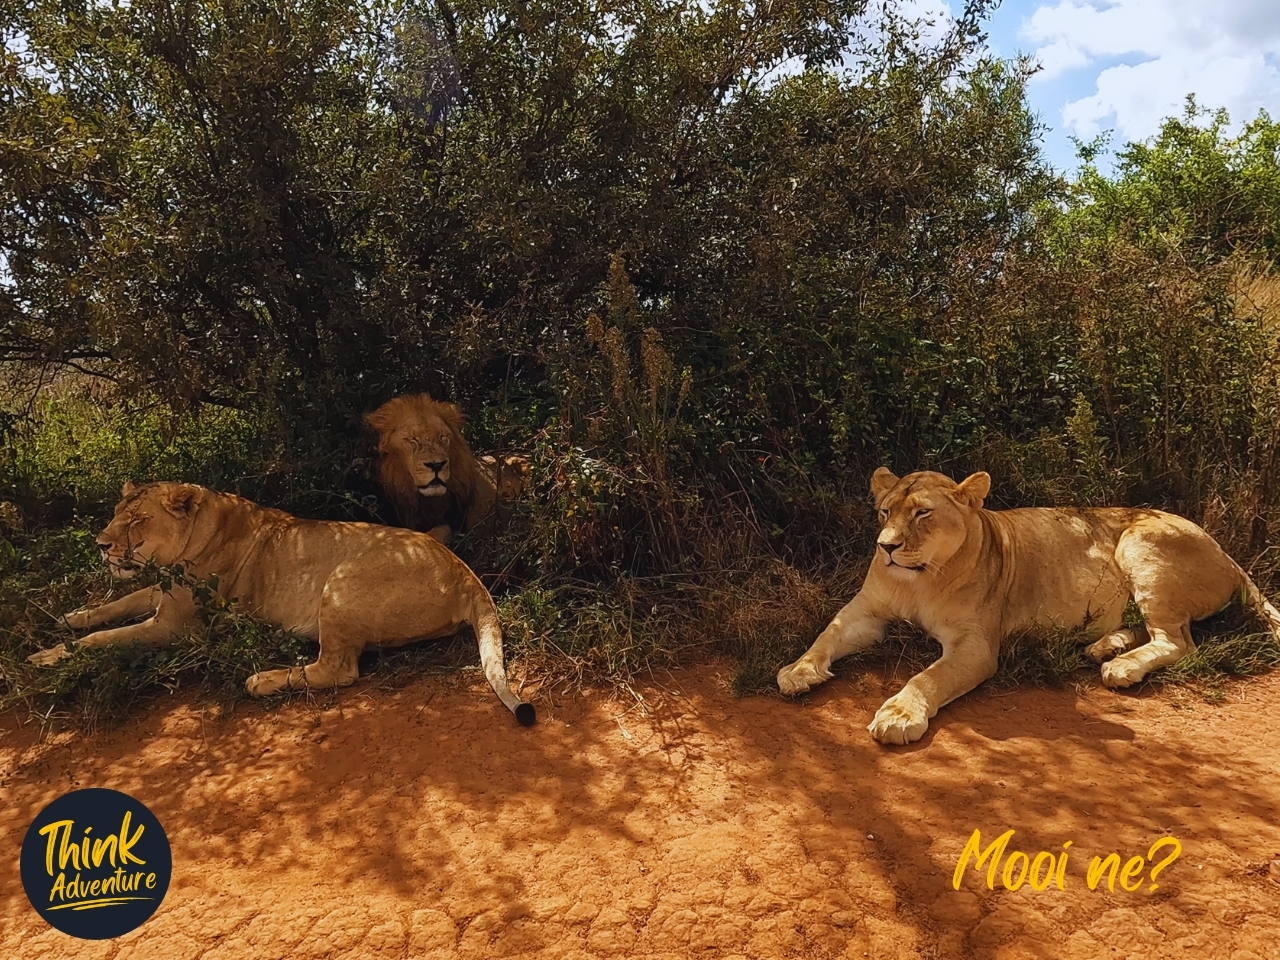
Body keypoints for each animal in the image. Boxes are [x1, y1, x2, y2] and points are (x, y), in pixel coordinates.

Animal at [26, 481, 536, 726]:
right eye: (115, 515)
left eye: (137, 521)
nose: (100, 545)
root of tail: (465, 572)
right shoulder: (161, 594)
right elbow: (114, 605)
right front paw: (70, 616)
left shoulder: (176, 627)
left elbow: (104, 639)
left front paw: (47, 656)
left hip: (340, 582)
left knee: (339, 670)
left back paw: (262, 679)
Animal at [777, 467, 1280, 745]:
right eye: (884, 512)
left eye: (922, 513)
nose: (886, 547)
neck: (917, 581)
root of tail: (1225, 551)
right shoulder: (865, 612)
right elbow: (826, 633)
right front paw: (798, 671)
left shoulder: (976, 646)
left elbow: (927, 677)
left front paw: (900, 715)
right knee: (1152, 631)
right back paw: (1106, 647)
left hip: (1142, 544)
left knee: (1178, 641)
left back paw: (1121, 666)